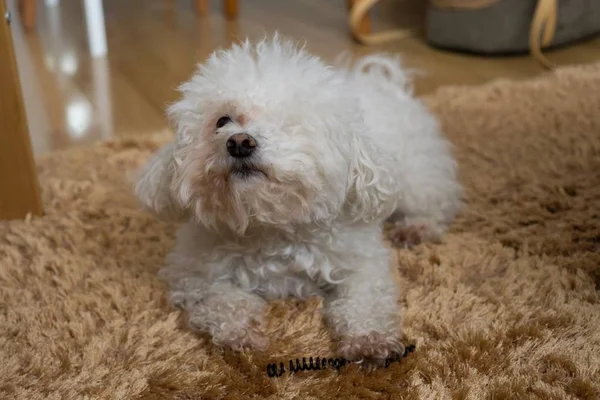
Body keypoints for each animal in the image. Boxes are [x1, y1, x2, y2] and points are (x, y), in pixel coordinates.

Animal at [135, 36, 460, 364]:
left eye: (287, 123)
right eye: (222, 121)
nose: (239, 142)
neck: (274, 228)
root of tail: (381, 81)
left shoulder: (363, 263)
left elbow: (365, 299)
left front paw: (370, 340)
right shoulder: (192, 272)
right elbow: (222, 298)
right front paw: (240, 331)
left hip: (417, 175)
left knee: (436, 202)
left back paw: (416, 228)